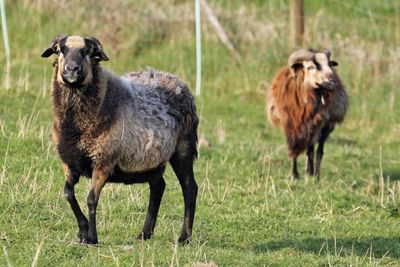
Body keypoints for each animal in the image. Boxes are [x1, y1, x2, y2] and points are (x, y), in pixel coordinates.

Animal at [41, 35, 199, 245]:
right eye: (60, 50)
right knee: (158, 187)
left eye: (89, 51)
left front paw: (92, 238)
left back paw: (184, 238)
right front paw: (82, 231)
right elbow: (68, 194)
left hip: (184, 147)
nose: (72, 69)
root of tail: (178, 80)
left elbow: (91, 199)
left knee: (190, 188)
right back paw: (145, 234)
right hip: (153, 161)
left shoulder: (103, 161)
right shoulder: (70, 161)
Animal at [268, 49, 348, 180]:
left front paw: (308, 173)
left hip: (326, 127)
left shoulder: (316, 125)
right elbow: (293, 147)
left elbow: (311, 150)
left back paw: (315, 175)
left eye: (329, 64)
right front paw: (294, 174)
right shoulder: (290, 124)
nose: (332, 82)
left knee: (318, 150)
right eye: (311, 67)